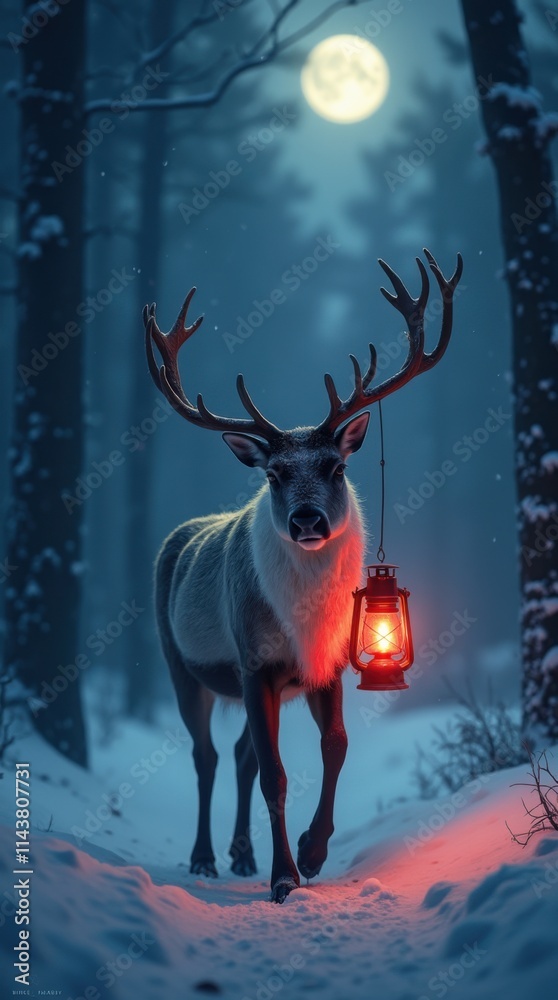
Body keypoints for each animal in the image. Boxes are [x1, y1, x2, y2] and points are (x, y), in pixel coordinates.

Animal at [143, 248, 463, 903]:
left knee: (238, 753)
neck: (306, 621)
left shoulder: (329, 661)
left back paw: (240, 854)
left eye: (336, 466)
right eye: (274, 475)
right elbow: (276, 773)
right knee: (207, 756)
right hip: (181, 664)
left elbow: (333, 748)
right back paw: (205, 857)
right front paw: (284, 877)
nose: (308, 519)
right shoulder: (254, 661)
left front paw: (313, 853)